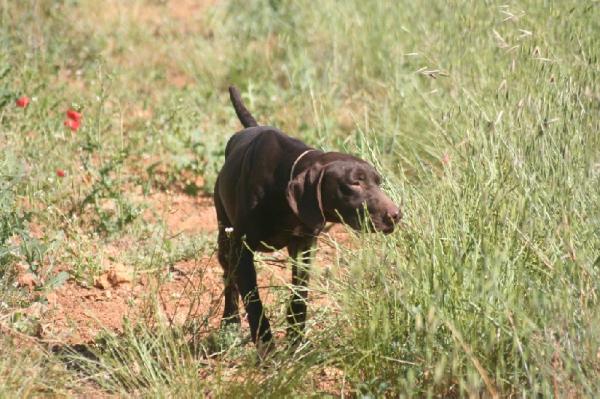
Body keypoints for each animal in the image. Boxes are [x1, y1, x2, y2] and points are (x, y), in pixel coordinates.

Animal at [213, 87, 400, 356]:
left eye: (378, 182)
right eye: (355, 182)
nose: (396, 214)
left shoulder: (303, 246)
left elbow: (299, 297)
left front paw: (296, 339)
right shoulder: (242, 249)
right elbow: (254, 301)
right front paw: (266, 346)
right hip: (224, 237)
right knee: (229, 280)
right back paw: (229, 323)